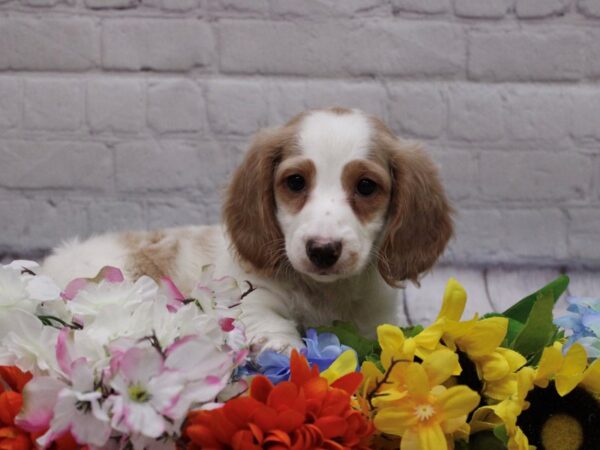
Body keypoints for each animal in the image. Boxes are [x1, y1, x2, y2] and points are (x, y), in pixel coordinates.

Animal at [42, 108, 452, 352]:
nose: (322, 250)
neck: (325, 293)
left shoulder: (375, 321)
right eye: (296, 182)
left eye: (366, 186)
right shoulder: (249, 301)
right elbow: (277, 334)